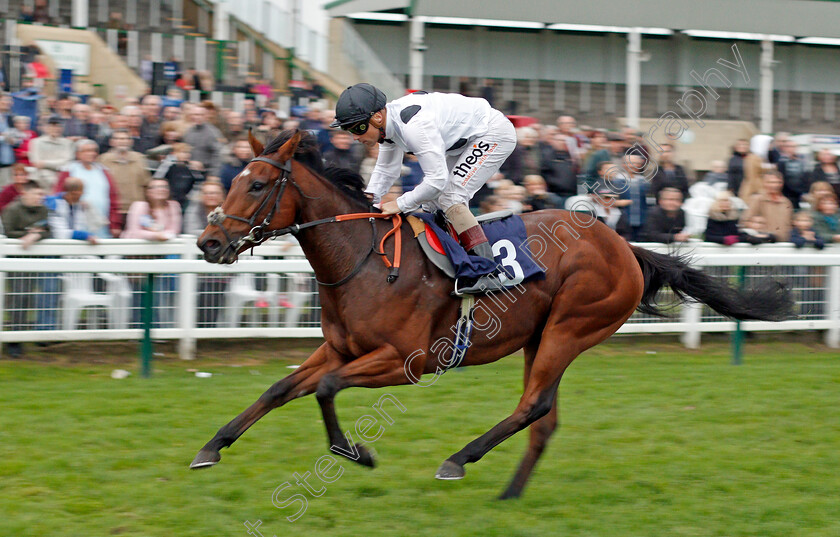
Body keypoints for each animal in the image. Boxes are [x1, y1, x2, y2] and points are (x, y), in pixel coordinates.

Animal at [192, 130, 796, 498]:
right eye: (234, 178)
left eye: (259, 184)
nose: (208, 241)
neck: (363, 260)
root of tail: (625, 246)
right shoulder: (341, 347)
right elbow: (281, 388)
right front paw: (211, 447)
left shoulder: (405, 361)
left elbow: (325, 389)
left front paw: (355, 453)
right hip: (540, 336)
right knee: (544, 417)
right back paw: (509, 493)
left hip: (571, 327)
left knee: (534, 406)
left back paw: (459, 459)